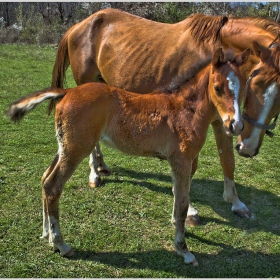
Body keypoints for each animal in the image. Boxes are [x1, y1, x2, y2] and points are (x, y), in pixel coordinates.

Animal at [6, 48, 247, 264]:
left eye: (242, 87)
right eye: (217, 88)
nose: (235, 125)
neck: (185, 110)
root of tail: (67, 92)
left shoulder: (181, 163)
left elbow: (178, 196)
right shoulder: (181, 161)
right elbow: (182, 203)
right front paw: (183, 250)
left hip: (64, 147)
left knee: (45, 179)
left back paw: (47, 233)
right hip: (76, 150)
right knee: (54, 186)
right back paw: (60, 244)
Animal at [50, 8, 280, 221]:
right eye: (255, 83)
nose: (248, 147)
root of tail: (79, 25)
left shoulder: (221, 121)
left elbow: (228, 161)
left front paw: (236, 203)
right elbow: (191, 168)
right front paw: (190, 209)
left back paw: (101, 166)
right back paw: (94, 174)